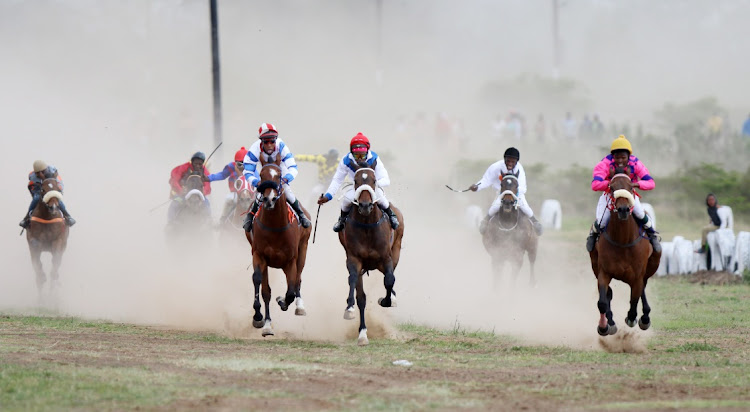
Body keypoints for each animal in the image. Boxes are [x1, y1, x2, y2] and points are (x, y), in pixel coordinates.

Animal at [247, 156, 312, 336]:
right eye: (261, 175)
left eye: (279, 175)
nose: (269, 199)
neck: (275, 226)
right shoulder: (259, 255)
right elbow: (261, 285)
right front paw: (260, 319)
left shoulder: (290, 260)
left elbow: (290, 291)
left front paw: (283, 301)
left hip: (302, 251)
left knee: (298, 280)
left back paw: (299, 306)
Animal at [340, 163, 406, 346]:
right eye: (355, 181)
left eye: (374, 180)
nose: (365, 205)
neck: (367, 226)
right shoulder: (354, 259)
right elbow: (355, 285)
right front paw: (349, 308)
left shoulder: (386, 258)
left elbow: (389, 280)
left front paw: (386, 300)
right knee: (361, 296)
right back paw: (362, 333)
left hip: (395, 251)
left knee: (390, 277)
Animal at [592, 172, 660, 336]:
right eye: (611, 188)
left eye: (630, 187)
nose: (623, 209)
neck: (622, 241)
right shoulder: (603, 273)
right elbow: (602, 302)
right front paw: (605, 326)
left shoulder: (637, 275)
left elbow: (634, 301)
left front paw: (633, 319)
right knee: (609, 295)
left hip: (651, 267)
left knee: (642, 289)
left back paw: (645, 318)